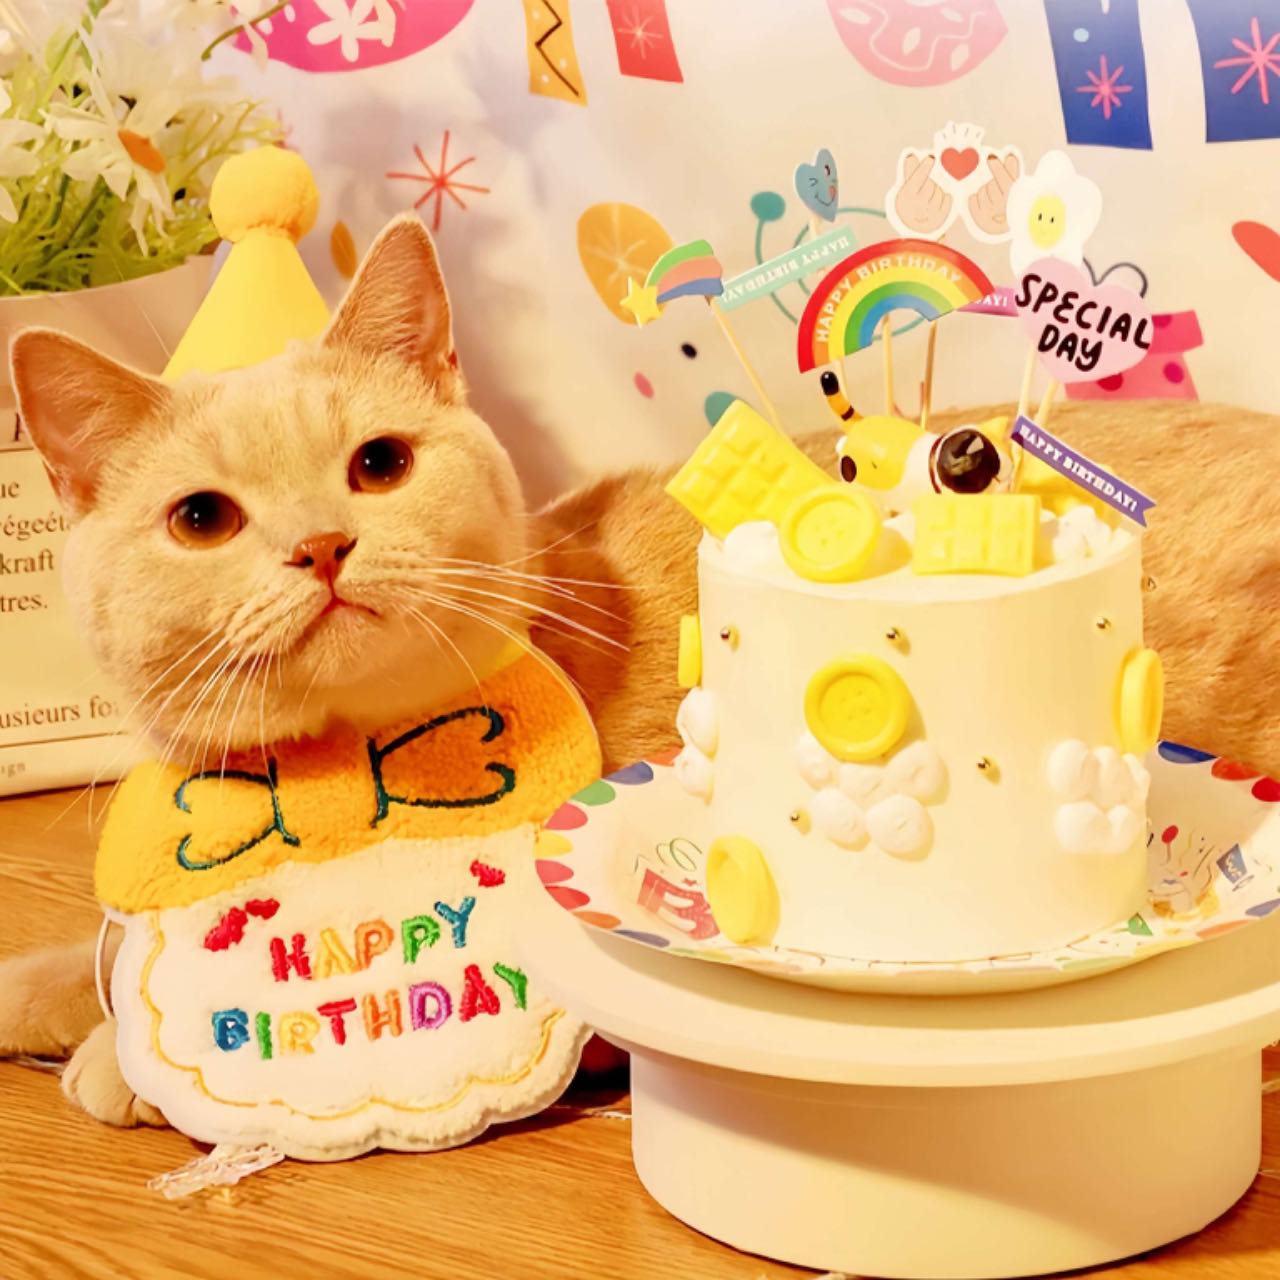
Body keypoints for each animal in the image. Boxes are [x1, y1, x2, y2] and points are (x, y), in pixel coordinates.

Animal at [2, 207, 1280, 1121]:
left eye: (379, 463)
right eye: (203, 519)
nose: (319, 545)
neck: (339, 773)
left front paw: (115, 1062)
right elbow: (93, 954)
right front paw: (50, 994)